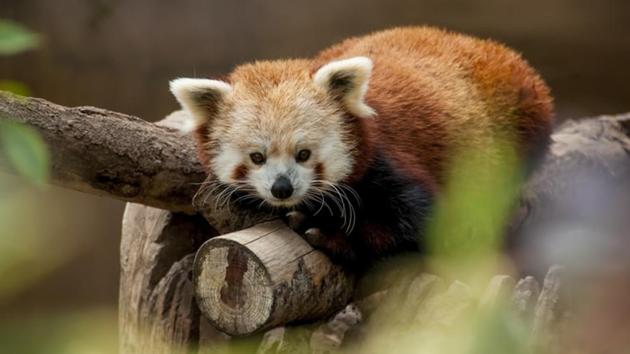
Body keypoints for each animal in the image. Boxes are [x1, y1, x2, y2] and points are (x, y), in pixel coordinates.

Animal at [170, 27, 556, 268]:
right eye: (257, 157)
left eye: (304, 154)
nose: (283, 189)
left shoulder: (389, 161)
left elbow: (422, 225)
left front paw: (330, 235)